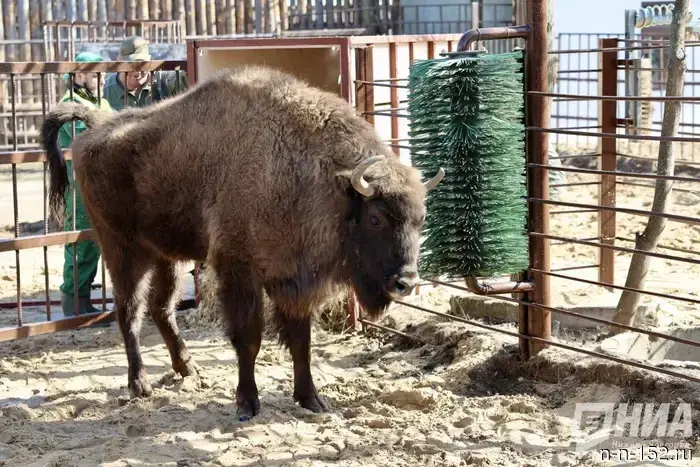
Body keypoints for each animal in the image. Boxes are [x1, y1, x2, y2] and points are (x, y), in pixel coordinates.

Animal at [41, 65, 444, 418]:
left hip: (165, 256)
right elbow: (249, 339)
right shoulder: (240, 270)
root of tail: (96, 129)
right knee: (129, 313)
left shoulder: (293, 280)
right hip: (123, 251)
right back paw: (140, 385)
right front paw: (247, 404)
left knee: (161, 308)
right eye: (375, 218)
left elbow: (302, 342)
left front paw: (312, 400)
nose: (406, 282)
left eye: (422, 219)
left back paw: (188, 369)